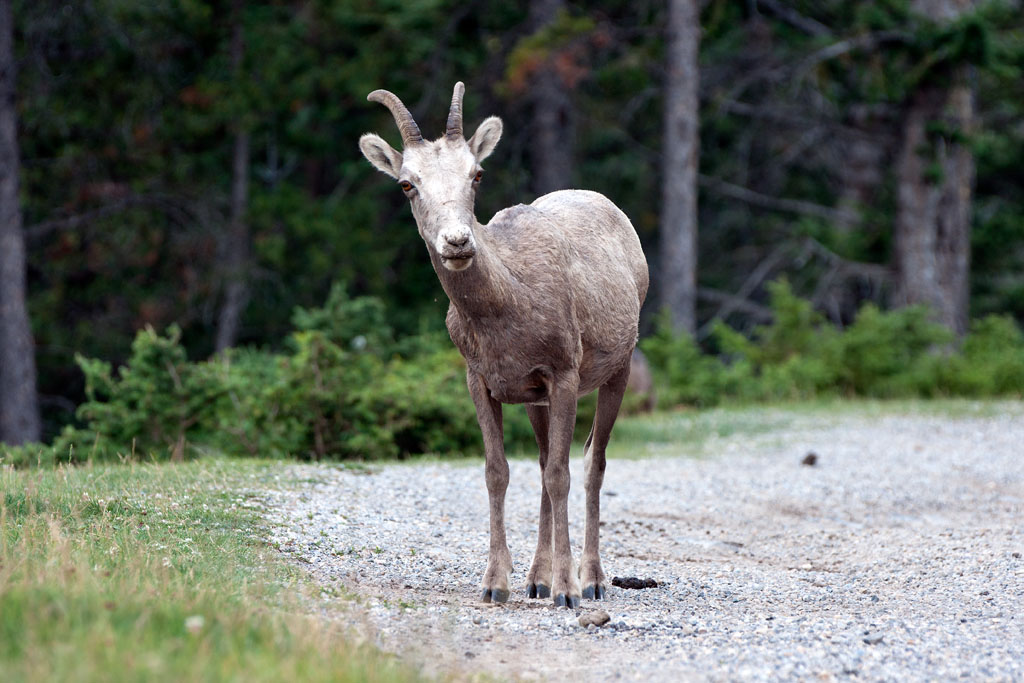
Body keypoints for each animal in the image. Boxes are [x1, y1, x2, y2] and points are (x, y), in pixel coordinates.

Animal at [360, 81, 647, 610]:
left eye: (476, 173)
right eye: (407, 184)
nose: (457, 242)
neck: (506, 315)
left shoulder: (564, 371)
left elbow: (561, 474)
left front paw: (567, 591)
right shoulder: (482, 378)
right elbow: (499, 471)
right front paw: (496, 583)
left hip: (618, 366)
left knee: (592, 463)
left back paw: (593, 580)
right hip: (535, 399)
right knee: (544, 462)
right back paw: (536, 579)